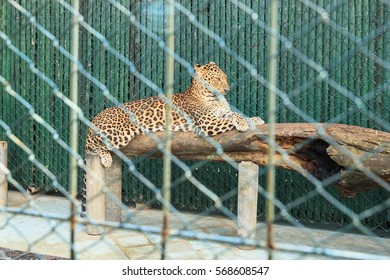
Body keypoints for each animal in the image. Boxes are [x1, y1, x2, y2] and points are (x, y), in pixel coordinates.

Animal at [82, 60, 266, 214]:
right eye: (216, 79)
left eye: (225, 78)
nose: (227, 90)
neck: (214, 98)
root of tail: (94, 119)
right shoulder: (207, 123)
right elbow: (233, 116)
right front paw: (244, 123)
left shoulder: (220, 114)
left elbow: (233, 113)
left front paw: (255, 119)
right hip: (120, 134)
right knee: (93, 144)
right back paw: (106, 157)